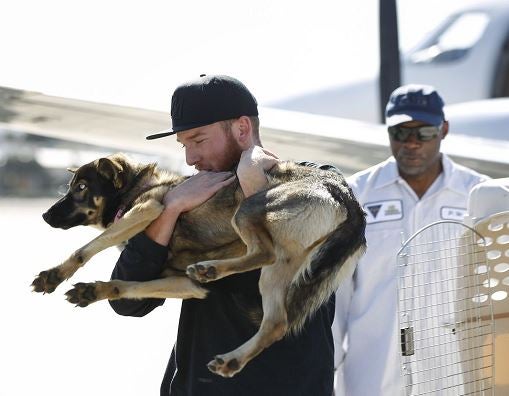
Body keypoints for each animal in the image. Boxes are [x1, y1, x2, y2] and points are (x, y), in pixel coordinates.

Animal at [31, 152, 366, 378]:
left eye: (82, 188)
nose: (45, 215)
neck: (137, 187)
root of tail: (347, 198)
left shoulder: (147, 209)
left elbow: (85, 249)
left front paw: (54, 275)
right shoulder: (185, 283)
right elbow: (126, 286)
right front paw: (92, 291)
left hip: (249, 210)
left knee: (265, 256)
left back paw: (212, 269)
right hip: (285, 265)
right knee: (275, 323)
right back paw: (232, 358)